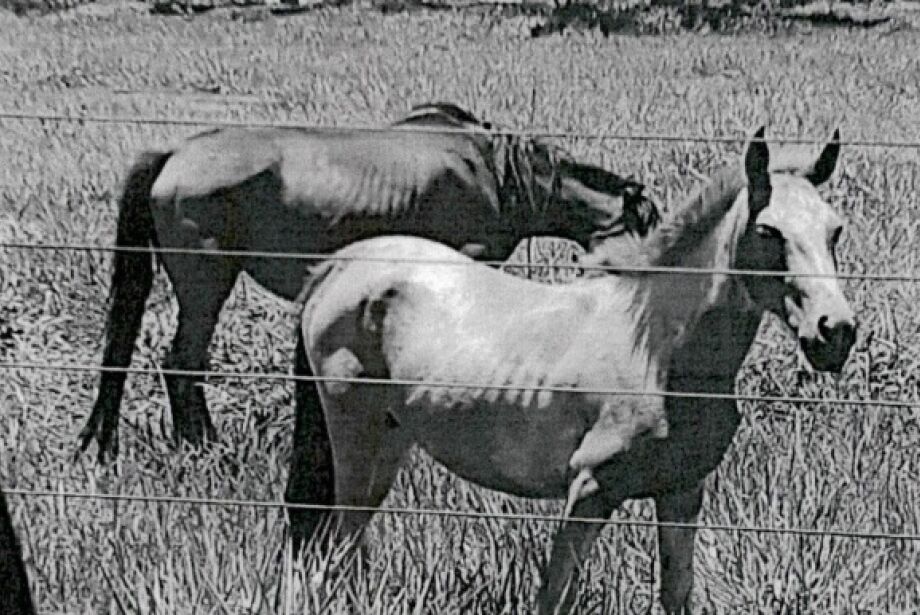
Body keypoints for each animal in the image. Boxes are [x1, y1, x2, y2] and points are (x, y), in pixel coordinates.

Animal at [290, 127, 856, 612]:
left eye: (835, 231)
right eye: (768, 231)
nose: (836, 333)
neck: (660, 356)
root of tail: (335, 268)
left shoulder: (681, 494)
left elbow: (676, 595)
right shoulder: (589, 493)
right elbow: (554, 597)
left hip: (389, 443)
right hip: (357, 442)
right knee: (330, 559)